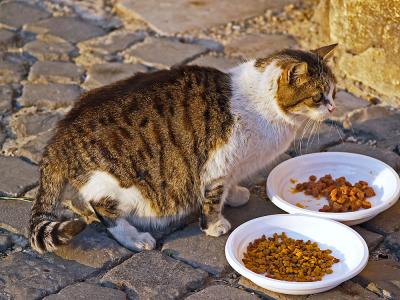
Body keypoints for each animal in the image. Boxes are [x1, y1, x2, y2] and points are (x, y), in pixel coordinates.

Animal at [29, 43, 338, 252]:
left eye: (334, 92)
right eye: (318, 96)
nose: (334, 107)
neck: (264, 107)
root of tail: (59, 135)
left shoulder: (233, 168)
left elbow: (228, 187)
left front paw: (235, 194)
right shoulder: (217, 165)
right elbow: (212, 200)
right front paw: (215, 225)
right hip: (120, 185)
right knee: (103, 209)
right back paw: (136, 238)